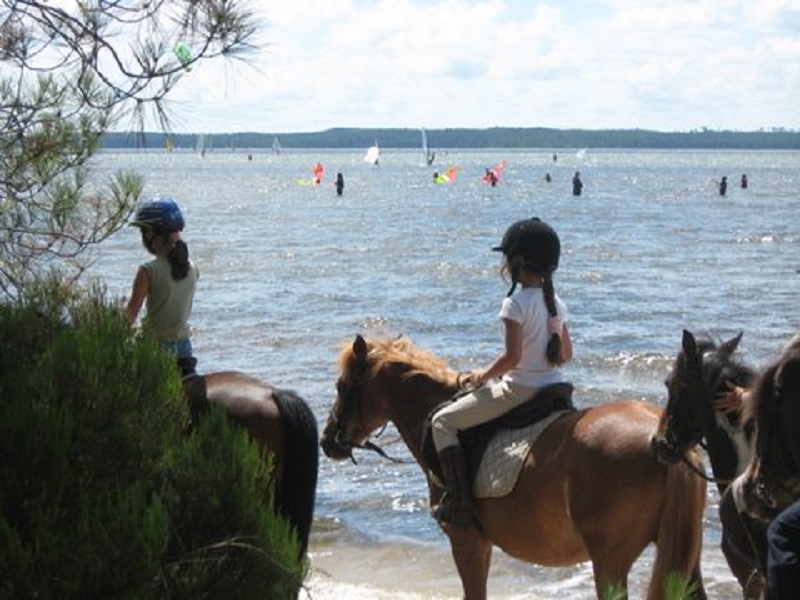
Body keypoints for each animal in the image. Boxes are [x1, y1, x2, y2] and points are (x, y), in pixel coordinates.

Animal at [320, 334, 707, 600]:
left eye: (341, 386)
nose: (327, 441)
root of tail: (663, 440)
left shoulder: (468, 543)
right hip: (684, 556)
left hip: (610, 561)